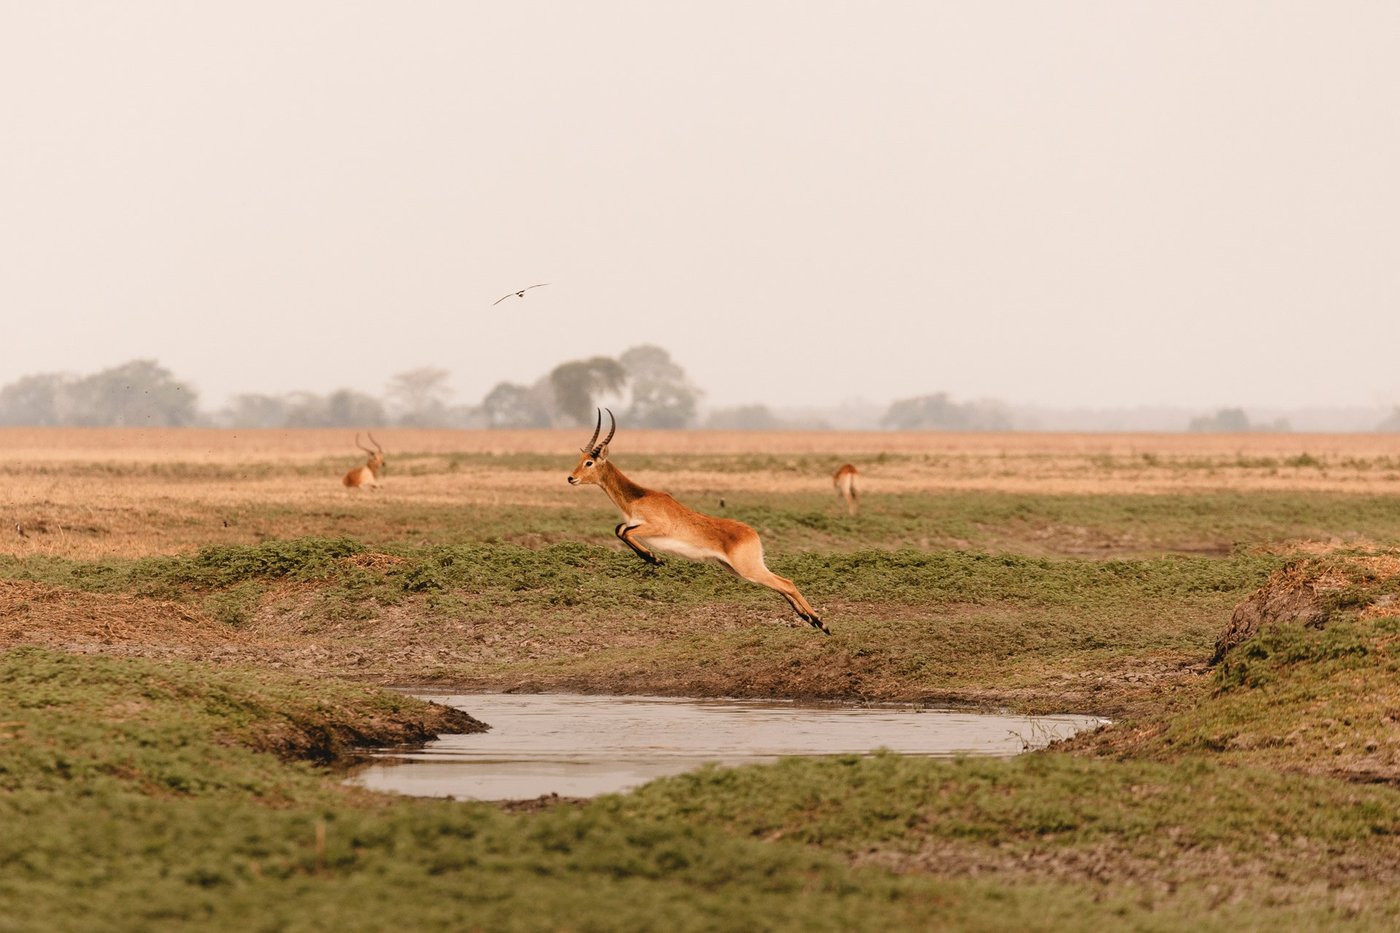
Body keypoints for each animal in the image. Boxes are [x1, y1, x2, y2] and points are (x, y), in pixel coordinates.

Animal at [568, 409, 830, 635]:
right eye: (580, 459)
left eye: (589, 462)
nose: (571, 478)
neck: (639, 497)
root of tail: (752, 533)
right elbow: (619, 529)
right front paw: (654, 559)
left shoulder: (656, 527)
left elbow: (623, 530)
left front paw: (654, 559)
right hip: (738, 569)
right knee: (781, 585)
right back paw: (810, 620)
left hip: (748, 569)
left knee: (787, 583)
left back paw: (821, 623)